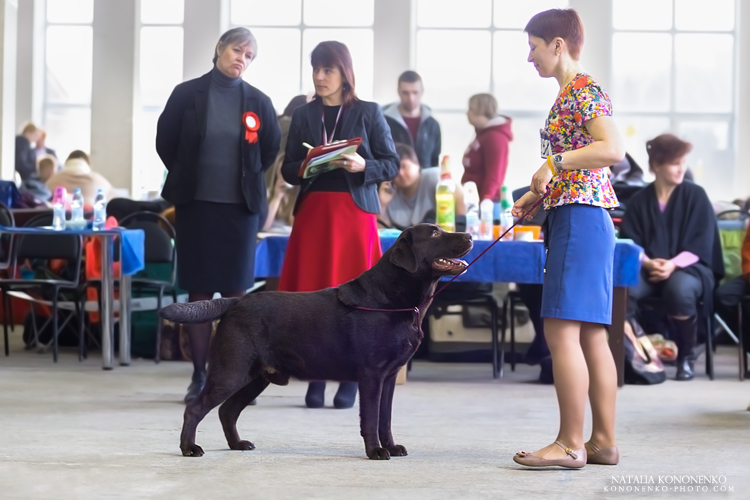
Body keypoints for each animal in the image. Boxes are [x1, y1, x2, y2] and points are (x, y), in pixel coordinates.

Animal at [160, 224, 473, 460]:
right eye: (435, 233)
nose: (469, 236)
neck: (393, 300)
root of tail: (234, 301)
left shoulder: (390, 377)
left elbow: (385, 418)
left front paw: (392, 447)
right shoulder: (372, 375)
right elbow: (371, 418)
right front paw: (375, 451)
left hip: (255, 377)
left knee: (227, 410)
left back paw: (237, 444)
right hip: (231, 371)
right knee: (196, 408)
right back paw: (189, 448)